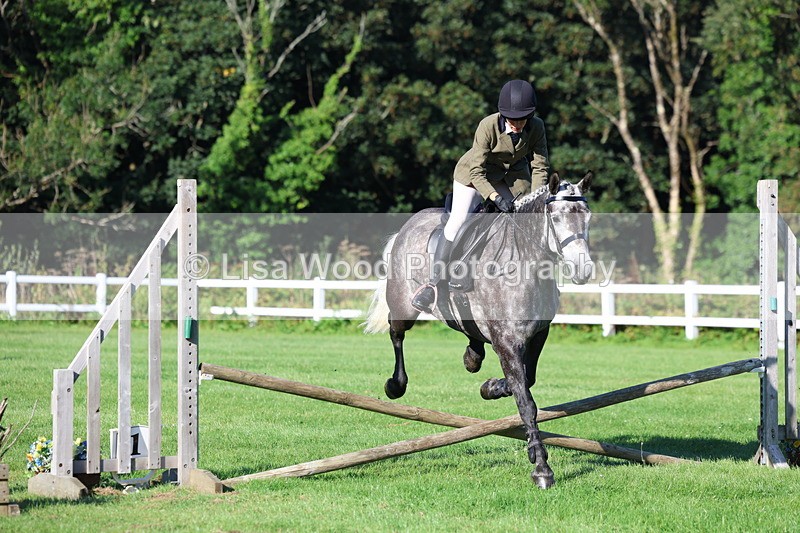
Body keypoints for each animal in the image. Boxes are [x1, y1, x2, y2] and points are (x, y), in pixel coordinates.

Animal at [363, 171, 594, 489]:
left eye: (587, 216)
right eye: (557, 218)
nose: (583, 270)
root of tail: (409, 225)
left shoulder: (537, 336)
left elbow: (525, 380)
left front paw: (491, 387)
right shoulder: (507, 342)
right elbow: (526, 402)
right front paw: (542, 468)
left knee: (465, 330)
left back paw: (472, 357)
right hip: (403, 305)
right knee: (397, 333)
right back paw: (396, 385)